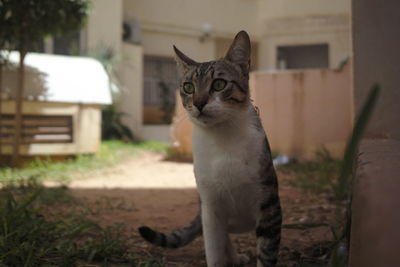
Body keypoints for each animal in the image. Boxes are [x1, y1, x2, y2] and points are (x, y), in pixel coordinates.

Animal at [139, 30, 282, 266]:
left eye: (219, 84)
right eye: (188, 87)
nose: (198, 103)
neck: (222, 138)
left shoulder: (269, 205)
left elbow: (267, 253)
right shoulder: (211, 207)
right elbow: (214, 250)